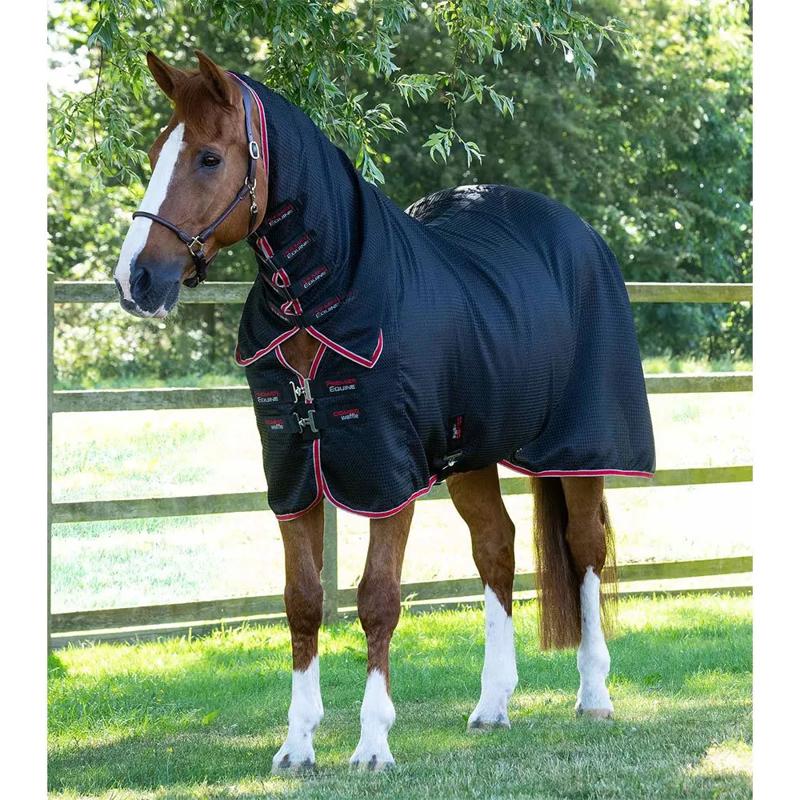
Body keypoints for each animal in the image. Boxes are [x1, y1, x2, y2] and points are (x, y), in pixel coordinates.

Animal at [113, 50, 655, 772]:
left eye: (207, 157)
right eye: (155, 152)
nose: (136, 280)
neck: (324, 301)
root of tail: (580, 233)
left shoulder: (387, 476)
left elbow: (376, 600)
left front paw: (372, 743)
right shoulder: (296, 476)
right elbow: (303, 602)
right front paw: (297, 744)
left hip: (582, 448)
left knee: (585, 548)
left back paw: (594, 694)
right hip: (470, 456)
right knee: (497, 549)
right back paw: (492, 705)